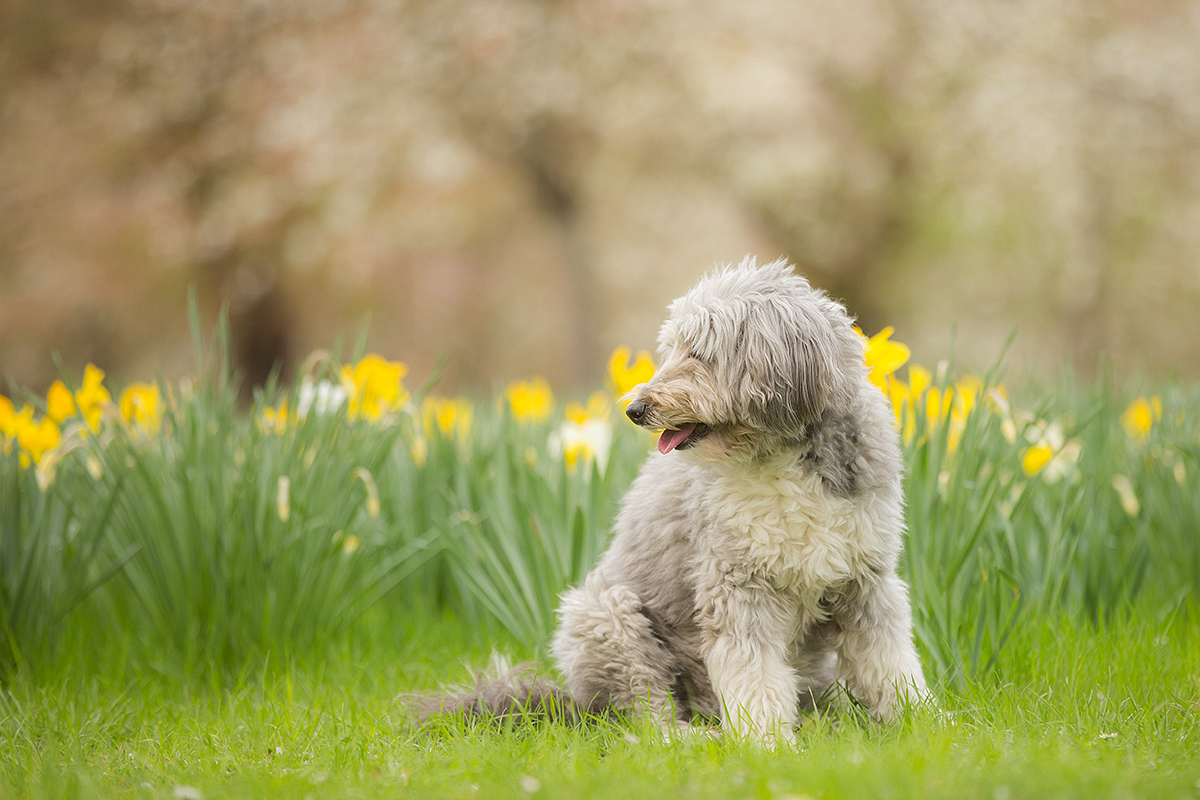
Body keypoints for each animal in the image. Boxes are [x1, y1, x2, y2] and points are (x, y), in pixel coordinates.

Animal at [427, 257, 931, 743]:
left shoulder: (864, 583)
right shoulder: (737, 587)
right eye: (671, 348)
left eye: (700, 354)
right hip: (607, 618)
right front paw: (767, 745)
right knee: (644, 719)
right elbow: (755, 679)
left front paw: (921, 724)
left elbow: (890, 665)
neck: (785, 457)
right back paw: (699, 737)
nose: (635, 409)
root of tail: (574, 701)